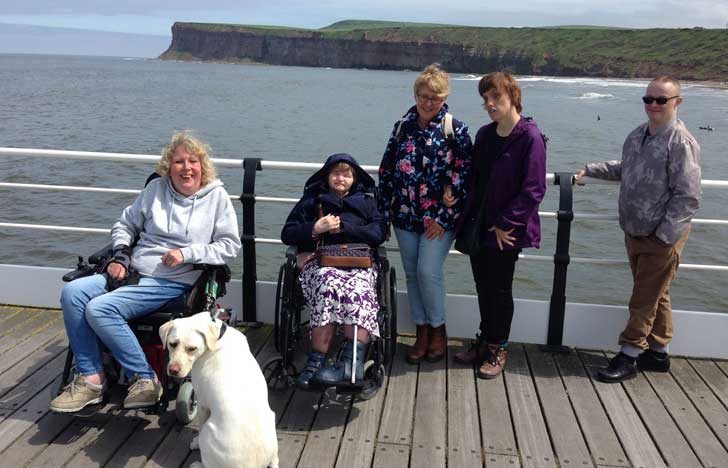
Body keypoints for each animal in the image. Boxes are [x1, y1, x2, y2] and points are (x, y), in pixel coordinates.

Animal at [161, 310, 280, 468]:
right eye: (172, 344)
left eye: (192, 349)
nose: (173, 370)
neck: (216, 338)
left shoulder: (202, 403)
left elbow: (199, 427)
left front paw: (195, 443)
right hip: (272, 424)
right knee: (275, 459)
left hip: (208, 433)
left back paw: (196, 464)